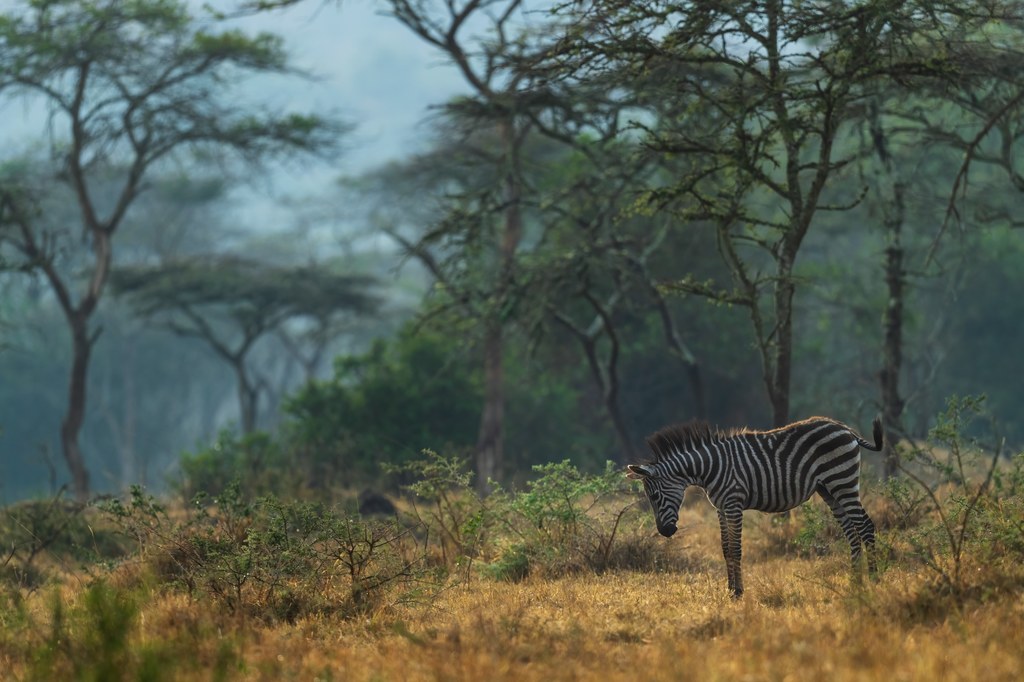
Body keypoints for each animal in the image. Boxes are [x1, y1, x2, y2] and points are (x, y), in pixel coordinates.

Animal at [626, 413, 884, 593]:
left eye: (654, 497)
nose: (665, 531)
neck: (709, 468)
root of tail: (845, 429)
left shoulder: (733, 503)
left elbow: (736, 548)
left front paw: (739, 591)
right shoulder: (720, 508)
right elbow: (725, 548)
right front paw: (730, 589)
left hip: (842, 481)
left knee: (865, 526)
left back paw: (874, 579)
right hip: (829, 489)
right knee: (851, 532)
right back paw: (855, 582)